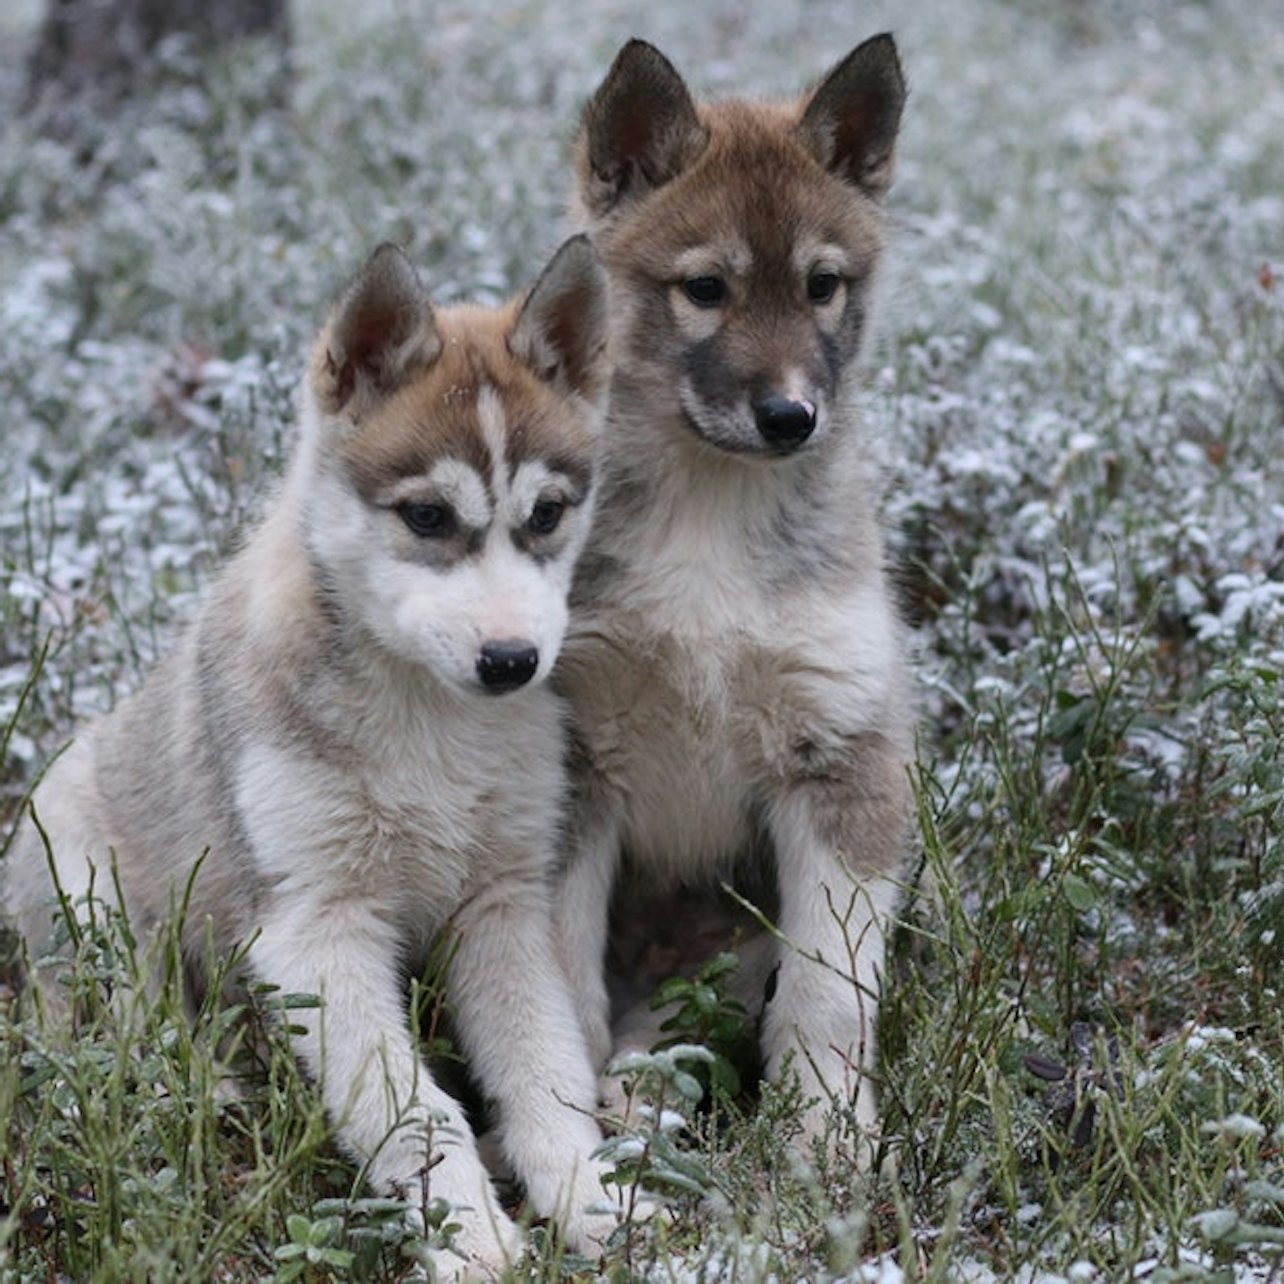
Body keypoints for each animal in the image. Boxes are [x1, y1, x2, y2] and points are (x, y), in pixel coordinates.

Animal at [3, 238, 616, 1273]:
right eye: (426, 517)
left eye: (546, 514)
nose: (511, 662)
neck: (427, 721)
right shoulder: (317, 930)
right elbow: (416, 1111)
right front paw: (472, 1242)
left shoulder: (501, 903)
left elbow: (544, 1064)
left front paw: (590, 1199)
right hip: (97, 902)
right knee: (126, 1024)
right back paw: (193, 1085)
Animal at [559, 35, 914, 1150]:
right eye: (706, 288)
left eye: (822, 286)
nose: (791, 417)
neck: (710, 515)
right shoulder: (573, 767)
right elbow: (557, 978)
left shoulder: (842, 761)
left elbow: (829, 995)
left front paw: (826, 1147)